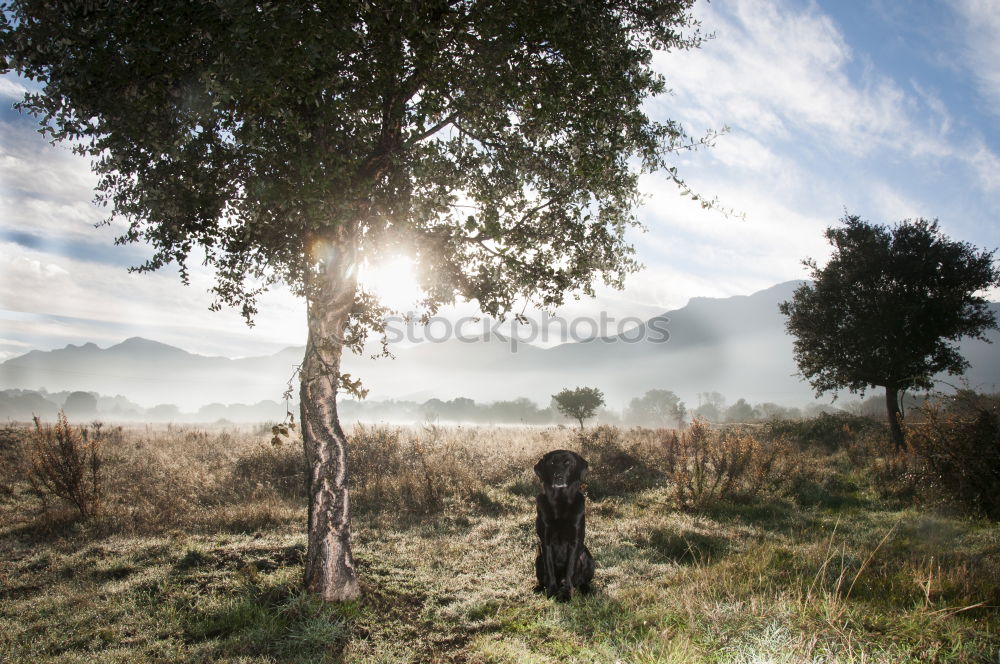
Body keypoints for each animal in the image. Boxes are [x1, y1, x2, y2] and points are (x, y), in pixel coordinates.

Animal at [532, 448, 592, 600]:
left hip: (587, 557)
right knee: (543, 577)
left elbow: (570, 569)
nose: (558, 477)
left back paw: (586, 589)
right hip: (538, 557)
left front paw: (565, 595)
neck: (560, 501)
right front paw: (553, 592)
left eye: (568, 462)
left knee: (582, 580)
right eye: (552, 463)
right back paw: (539, 587)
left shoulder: (574, 542)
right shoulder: (546, 542)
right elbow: (550, 570)